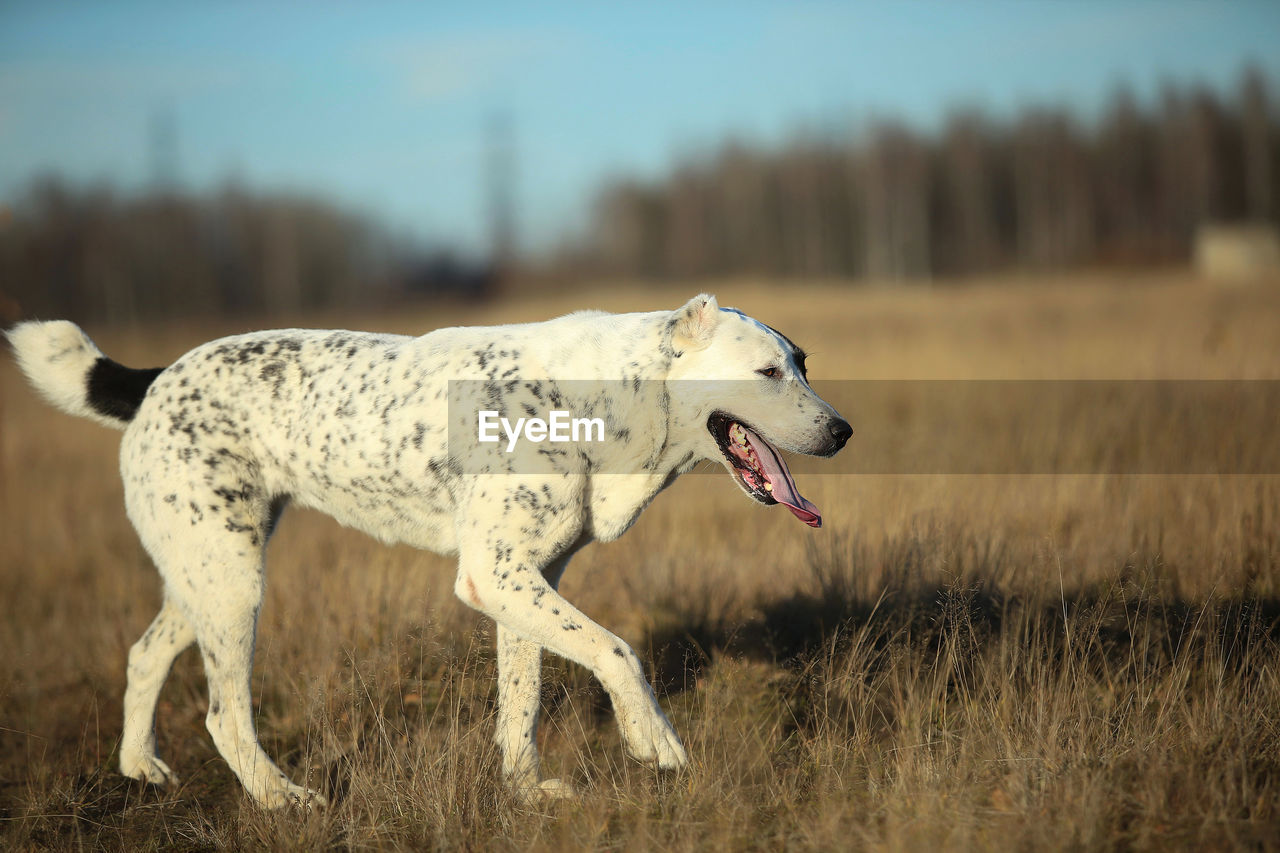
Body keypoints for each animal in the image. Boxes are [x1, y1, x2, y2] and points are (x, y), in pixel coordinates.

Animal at [12, 294, 849, 804]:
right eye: (766, 371)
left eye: (804, 361)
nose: (843, 431)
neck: (603, 398)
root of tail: (155, 379)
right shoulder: (496, 577)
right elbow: (619, 652)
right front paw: (656, 744)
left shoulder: (526, 580)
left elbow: (523, 702)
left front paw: (525, 794)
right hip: (232, 583)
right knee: (223, 715)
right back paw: (282, 799)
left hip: (209, 571)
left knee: (143, 653)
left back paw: (139, 766)